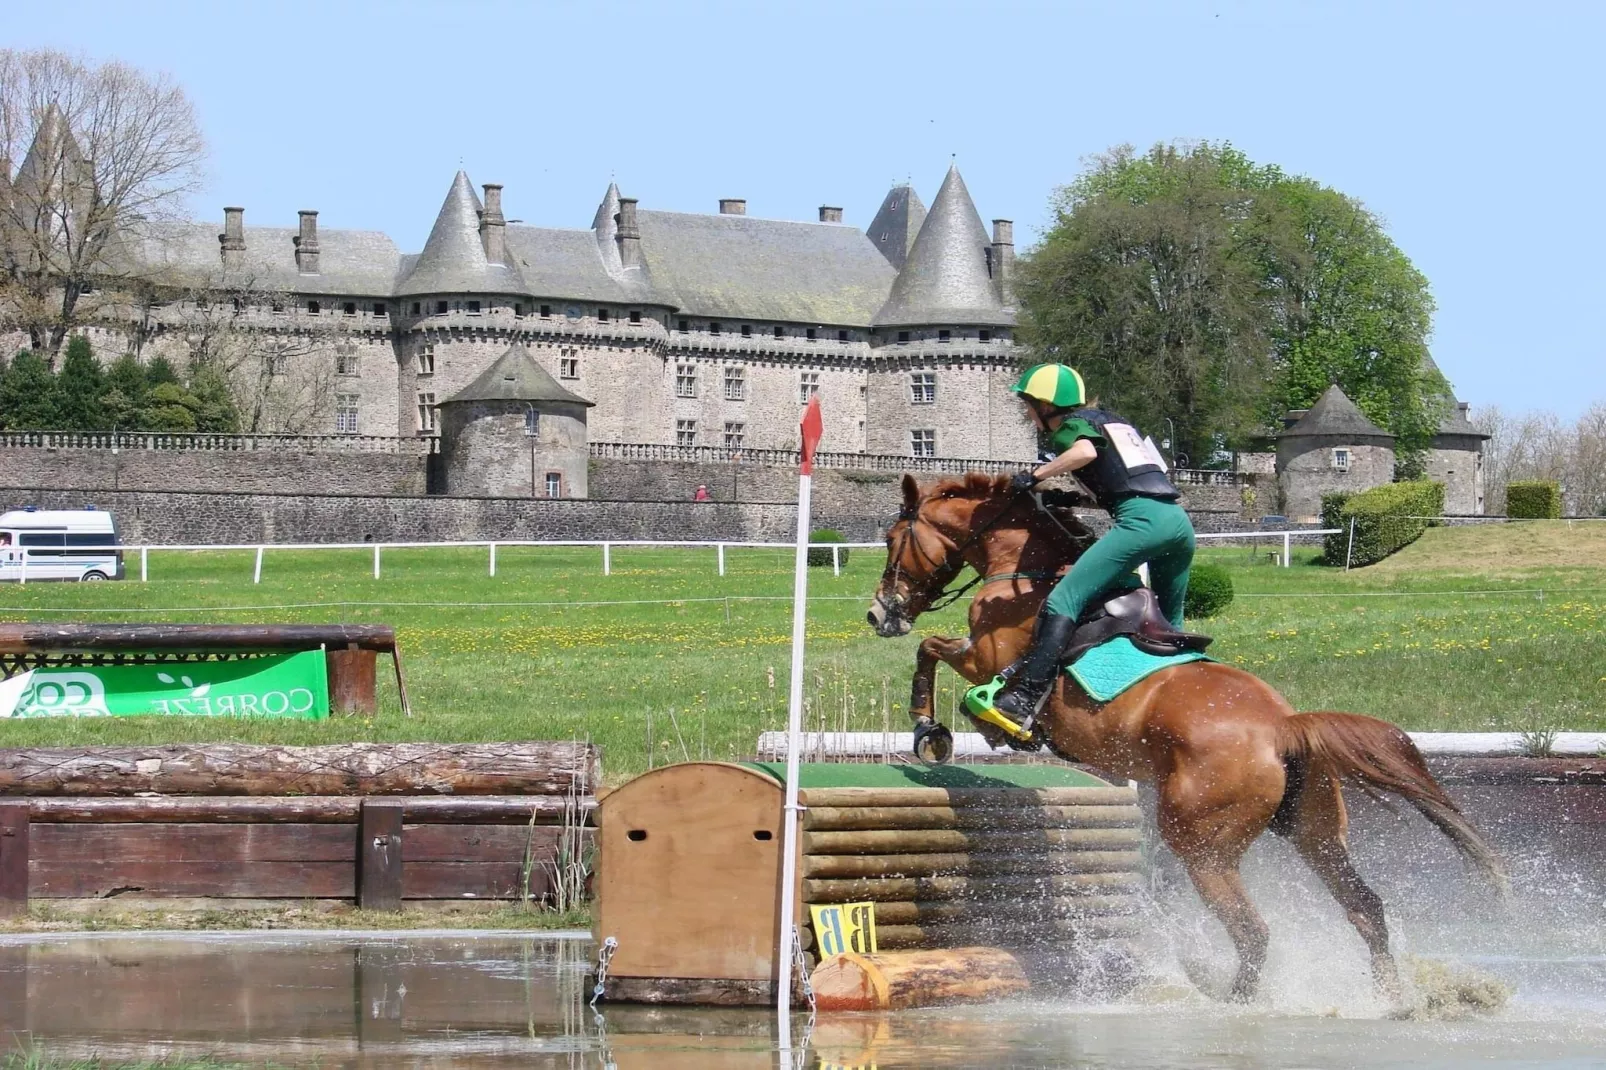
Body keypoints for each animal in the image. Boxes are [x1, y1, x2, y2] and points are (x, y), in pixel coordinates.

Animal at [867, 472, 1503, 996]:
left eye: (894, 537)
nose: (879, 614)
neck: (1025, 571)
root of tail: (1283, 726)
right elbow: (933, 649)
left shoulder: (987, 659)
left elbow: (934, 651)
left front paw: (930, 729)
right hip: (1315, 832)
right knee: (1365, 909)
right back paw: (1394, 1002)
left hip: (1203, 846)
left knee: (1253, 931)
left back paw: (1235, 1003)